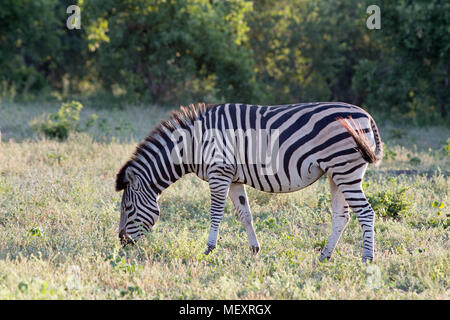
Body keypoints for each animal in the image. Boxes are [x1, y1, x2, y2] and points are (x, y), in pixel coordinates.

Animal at [116, 102, 384, 262]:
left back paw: (367, 259)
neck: (194, 144)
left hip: (346, 170)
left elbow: (216, 214)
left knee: (366, 213)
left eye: (127, 208)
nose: (122, 243)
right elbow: (245, 215)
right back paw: (324, 256)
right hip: (335, 173)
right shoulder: (233, 178)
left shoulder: (219, 173)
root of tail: (367, 116)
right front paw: (255, 250)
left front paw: (209, 249)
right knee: (342, 216)